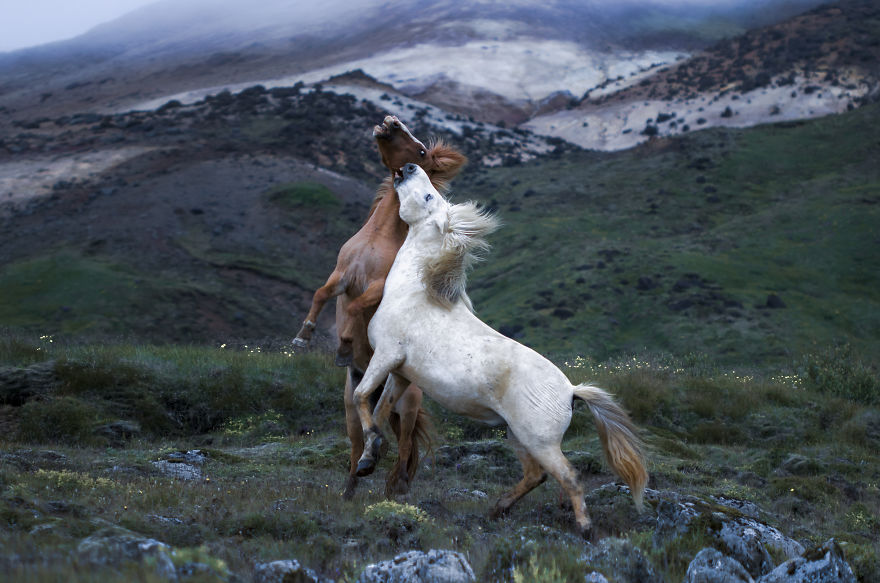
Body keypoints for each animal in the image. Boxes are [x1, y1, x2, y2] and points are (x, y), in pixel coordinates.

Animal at [294, 116, 468, 500]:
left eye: (421, 151)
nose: (391, 121)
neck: (379, 236)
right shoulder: (341, 275)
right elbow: (320, 294)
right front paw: (303, 336)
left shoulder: (376, 286)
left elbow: (357, 308)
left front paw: (344, 346)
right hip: (351, 405)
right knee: (362, 442)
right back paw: (352, 485)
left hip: (406, 405)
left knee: (402, 449)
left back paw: (395, 489)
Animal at [350, 162, 648, 536]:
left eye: (430, 195)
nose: (408, 167)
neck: (414, 293)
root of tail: (571, 391)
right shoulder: (402, 372)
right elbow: (379, 410)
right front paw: (368, 458)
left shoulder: (387, 355)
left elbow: (360, 396)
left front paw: (368, 456)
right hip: (517, 435)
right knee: (535, 476)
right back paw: (497, 508)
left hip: (539, 441)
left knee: (568, 476)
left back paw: (583, 527)